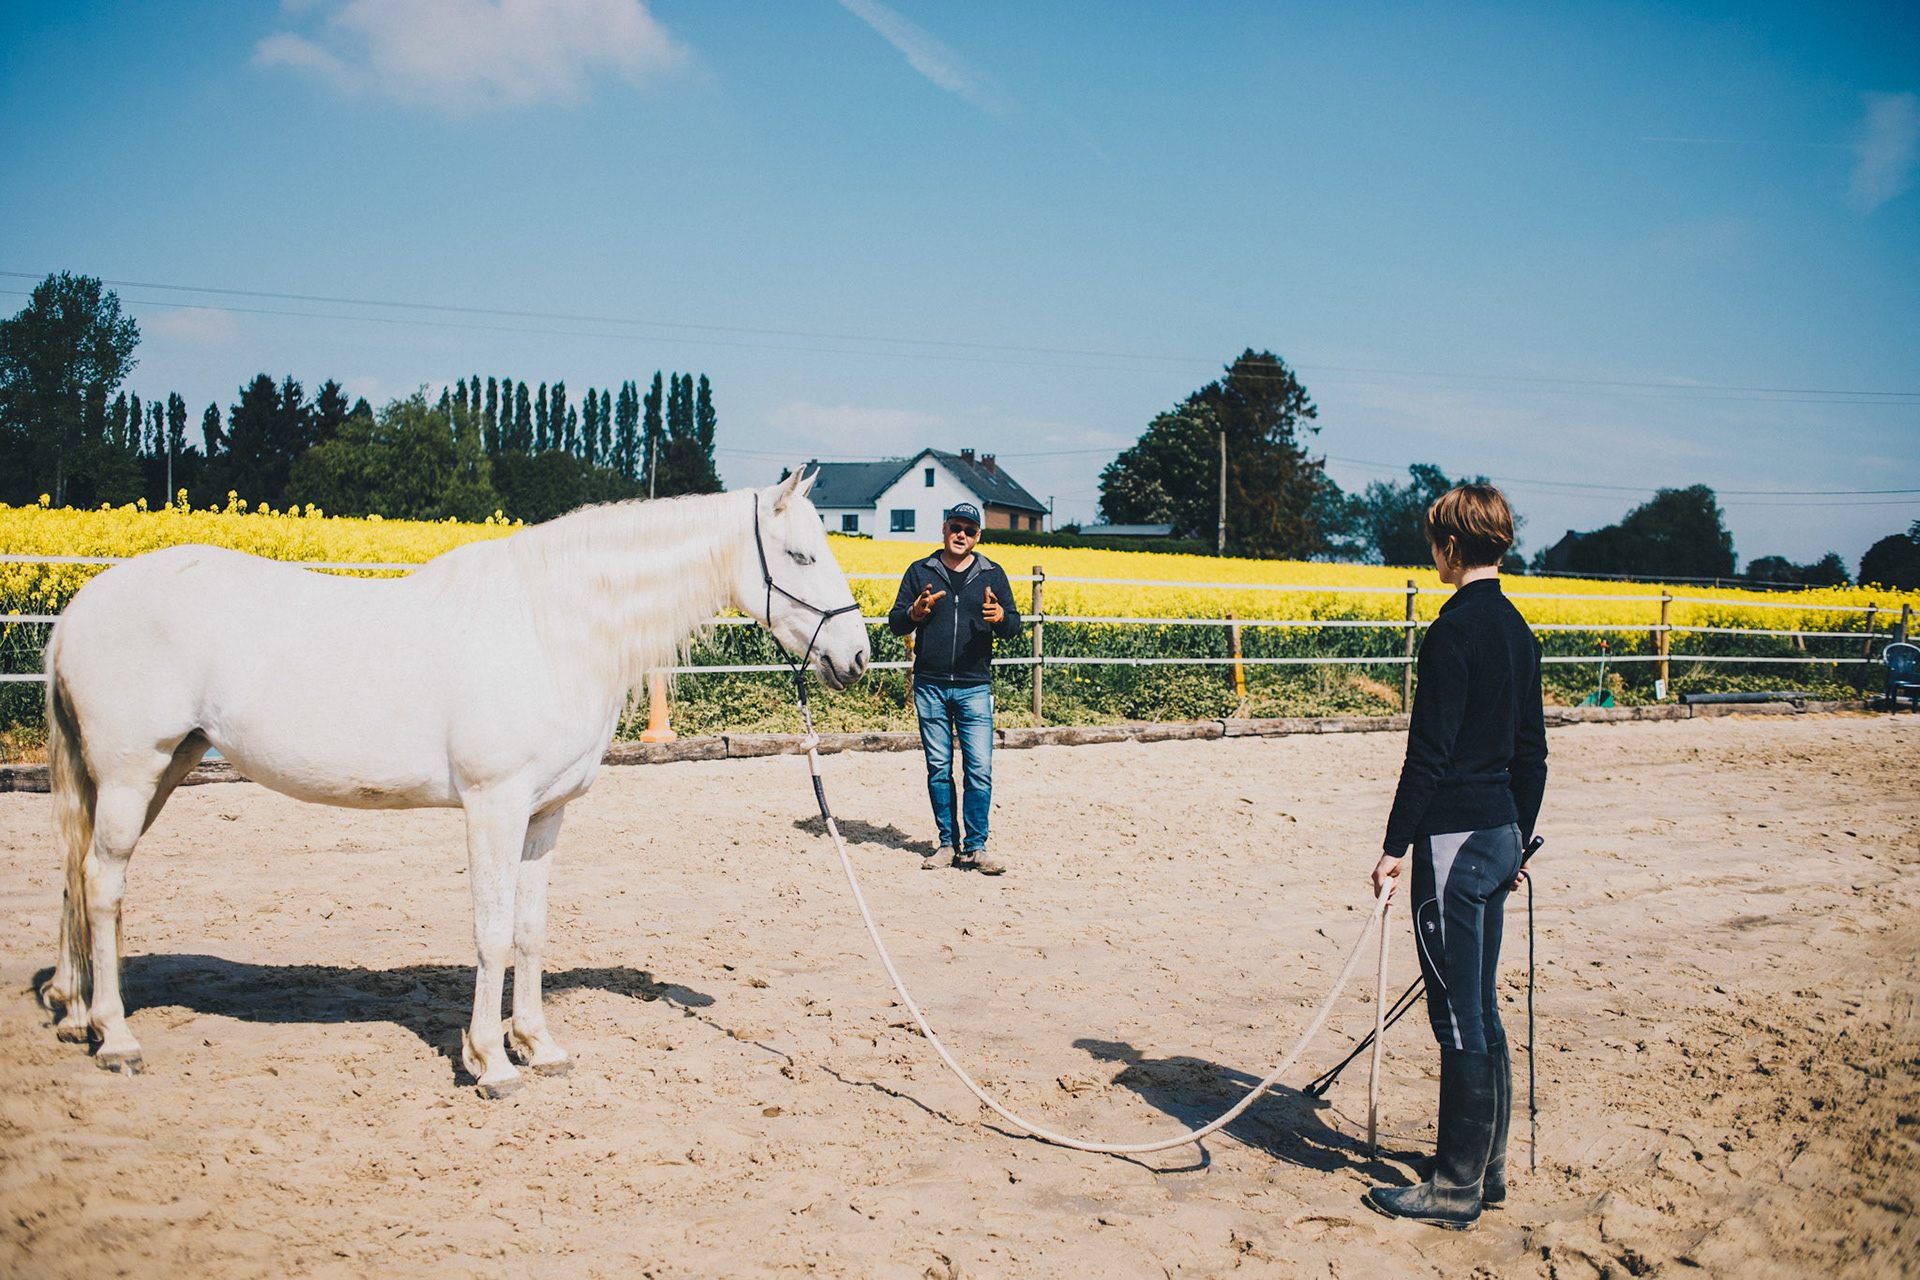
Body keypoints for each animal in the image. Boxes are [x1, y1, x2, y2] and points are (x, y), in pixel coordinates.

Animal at [41, 475, 867, 1097]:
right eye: (799, 553)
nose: (857, 657)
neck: (550, 628)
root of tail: (81, 607)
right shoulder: (493, 807)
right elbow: (491, 932)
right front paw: (490, 1063)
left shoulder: (545, 815)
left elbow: (530, 930)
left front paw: (538, 1045)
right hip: (132, 773)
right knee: (103, 886)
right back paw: (115, 1036)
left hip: (163, 769)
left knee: (77, 878)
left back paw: (74, 1011)